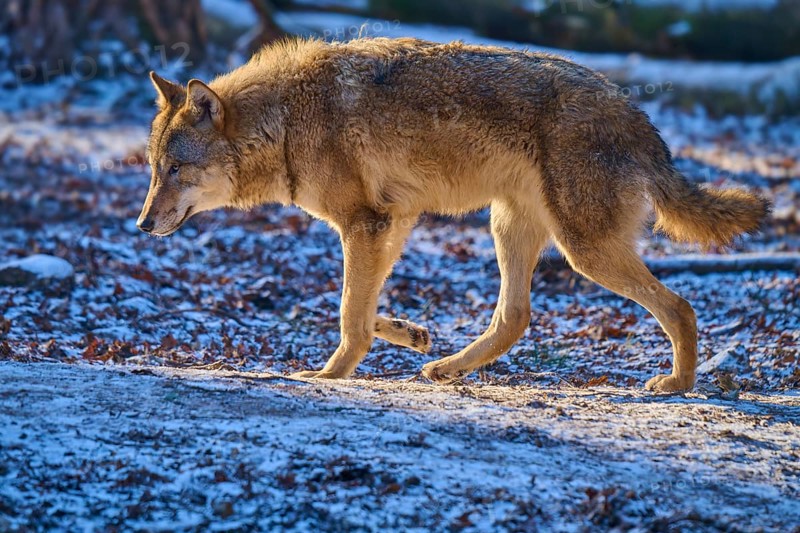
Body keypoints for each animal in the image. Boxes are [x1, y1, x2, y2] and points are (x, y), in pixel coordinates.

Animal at [138, 37, 768, 392]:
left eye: (175, 169)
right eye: (153, 167)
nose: (141, 225)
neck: (288, 120)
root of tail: (639, 116)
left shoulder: (365, 225)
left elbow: (347, 315)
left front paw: (328, 376)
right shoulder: (391, 222)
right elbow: (358, 309)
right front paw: (411, 333)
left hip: (583, 251)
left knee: (680, 306)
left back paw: (678, 384)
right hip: (509, 228)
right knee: (515, 317)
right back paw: (446, 369)